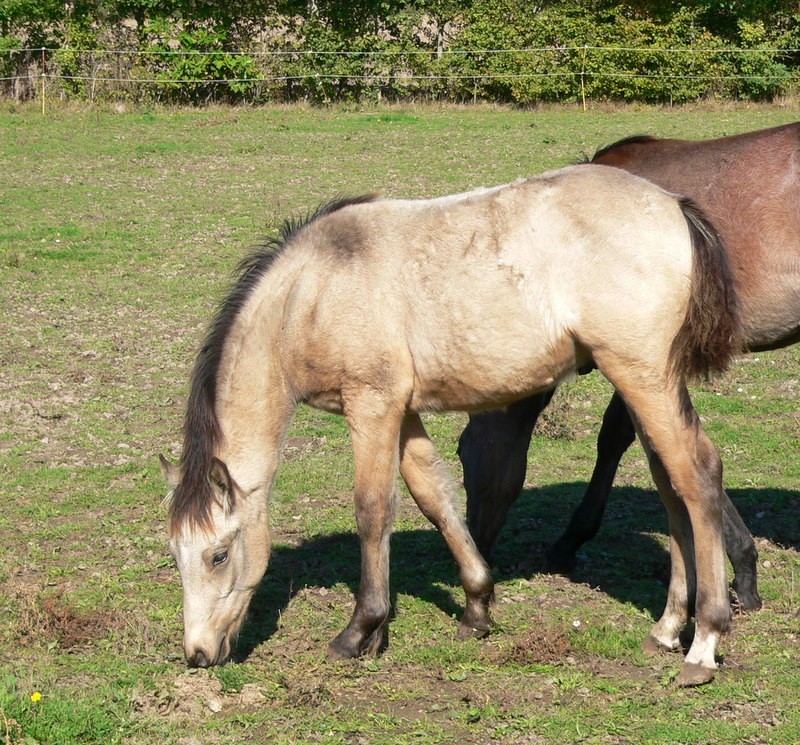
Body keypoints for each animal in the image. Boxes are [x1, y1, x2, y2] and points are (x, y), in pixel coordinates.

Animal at [164, 164, 744, 684]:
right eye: (175, 555)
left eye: (218, 555)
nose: (198, 654)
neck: (310, 294)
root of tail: (672, 205)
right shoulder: (402, 413)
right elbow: (435, 497)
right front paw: (477, 607)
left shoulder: (371, 406)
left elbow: (373, 510)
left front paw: (360, 630)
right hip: (642, 385)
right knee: (672, 486)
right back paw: (667, 628)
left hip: (641, 376)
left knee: (698, 475)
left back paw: (704, 642)